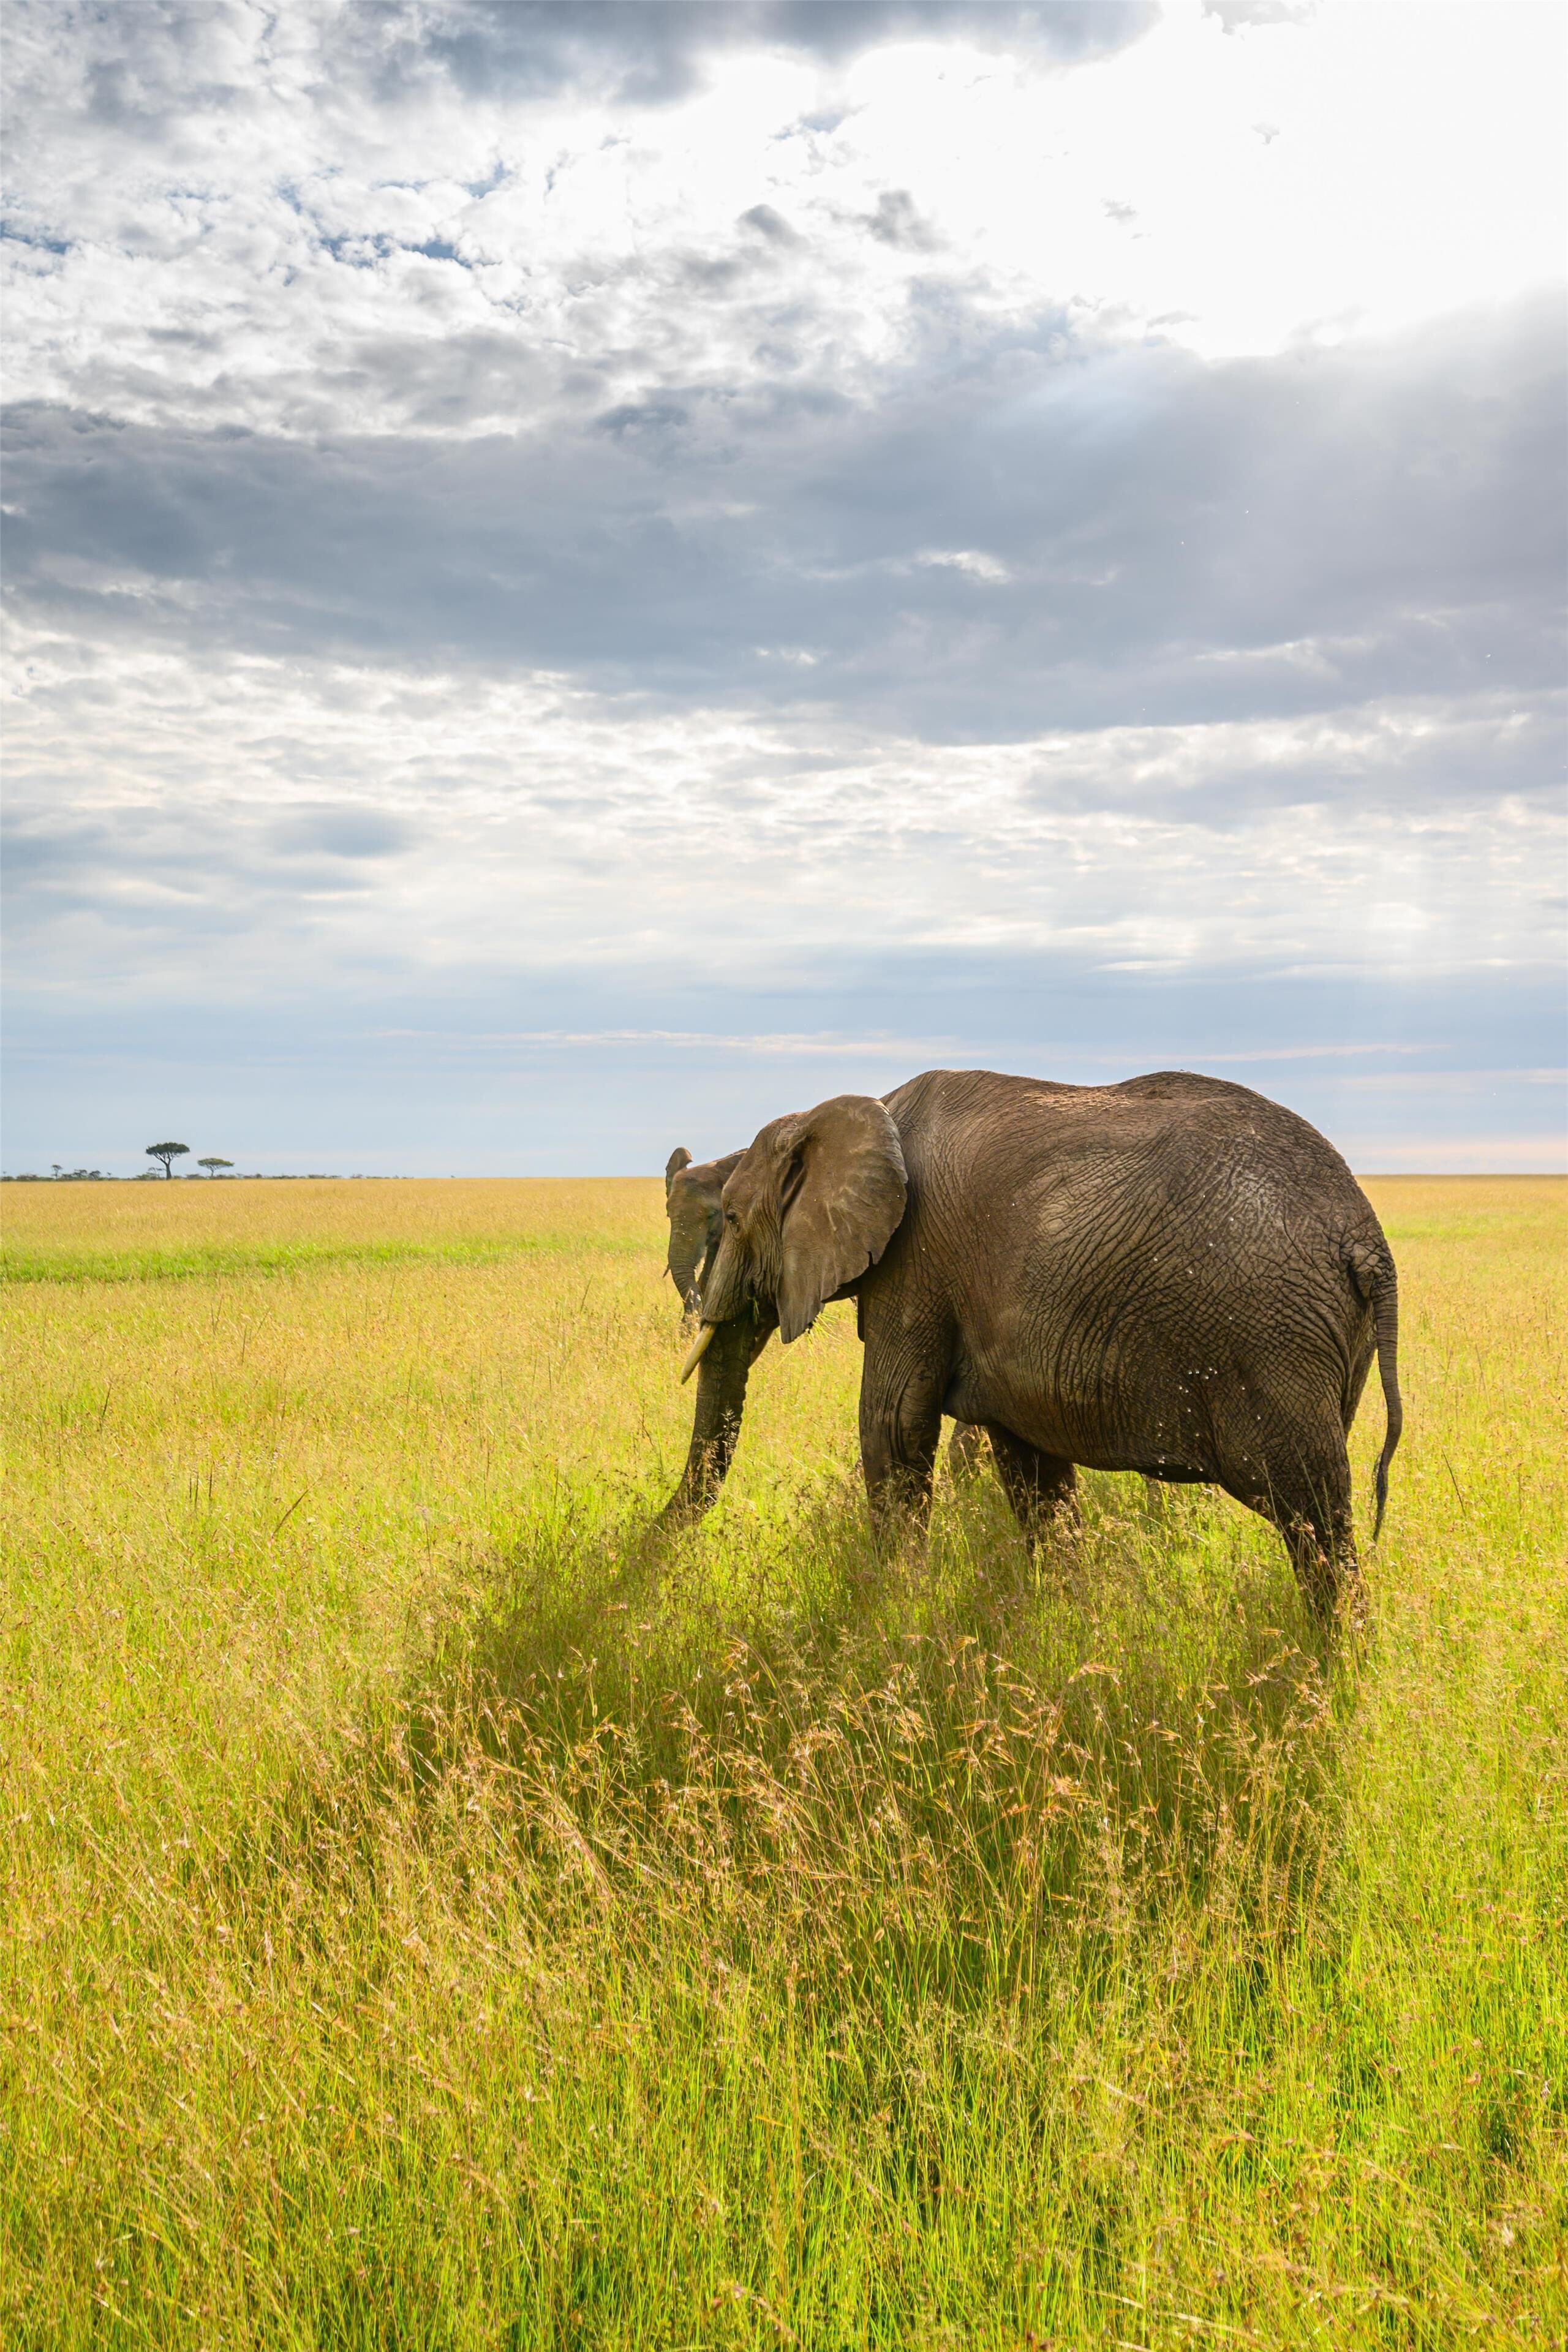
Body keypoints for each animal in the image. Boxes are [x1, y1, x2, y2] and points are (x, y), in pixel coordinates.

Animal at [666, 1068, 1402, 1619]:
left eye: (731, 1217)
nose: (645, 1568)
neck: (851, 1110)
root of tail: (1365, 1240)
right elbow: (1033, 1469)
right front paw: (1068, 1625)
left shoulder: (916, 1265)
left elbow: (894, 1425)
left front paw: (894, 1619)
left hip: (1275, 1342)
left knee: (1313, 1516)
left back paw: (1333, 1675)